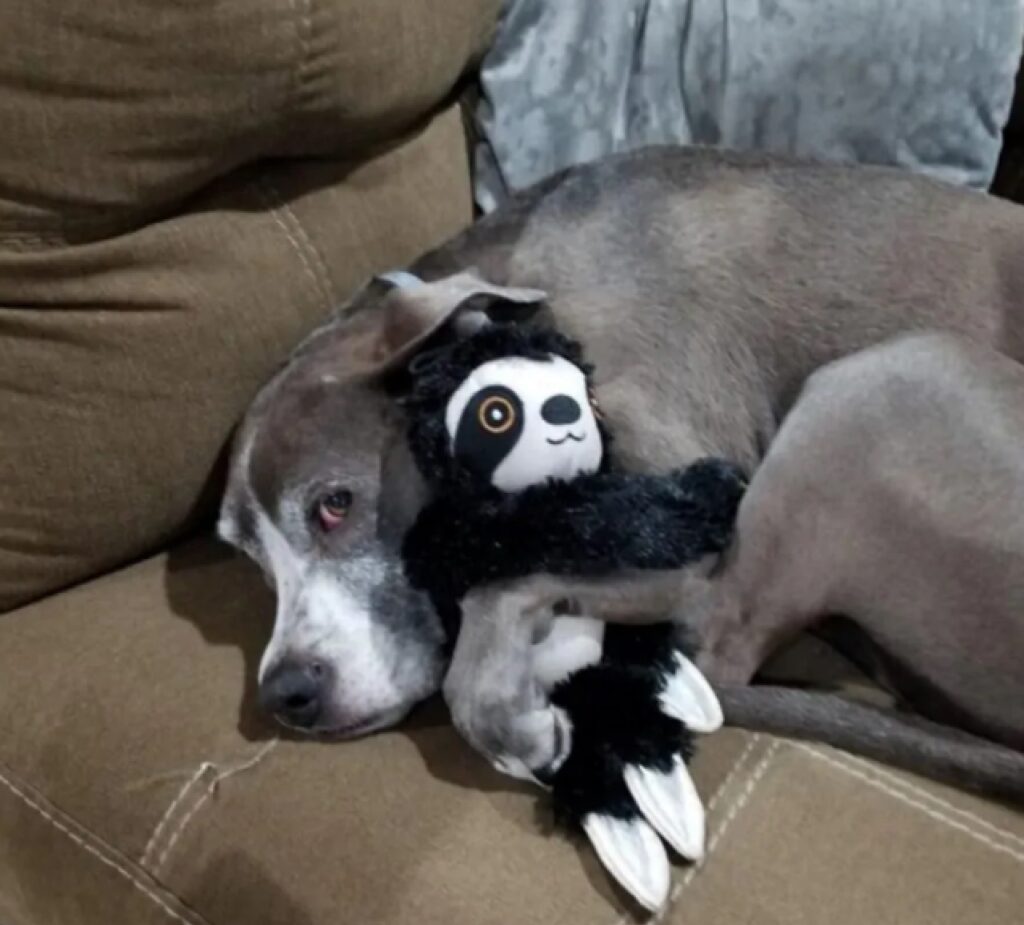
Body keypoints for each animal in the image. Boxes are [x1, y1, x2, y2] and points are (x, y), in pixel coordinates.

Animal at [222, 148, 1024, 799]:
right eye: (246, 558)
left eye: (335, 503)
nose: (285, 695)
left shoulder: (685, 517)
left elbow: (504, 579)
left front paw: (511, 721)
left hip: (881, 381)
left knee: (713, 642)